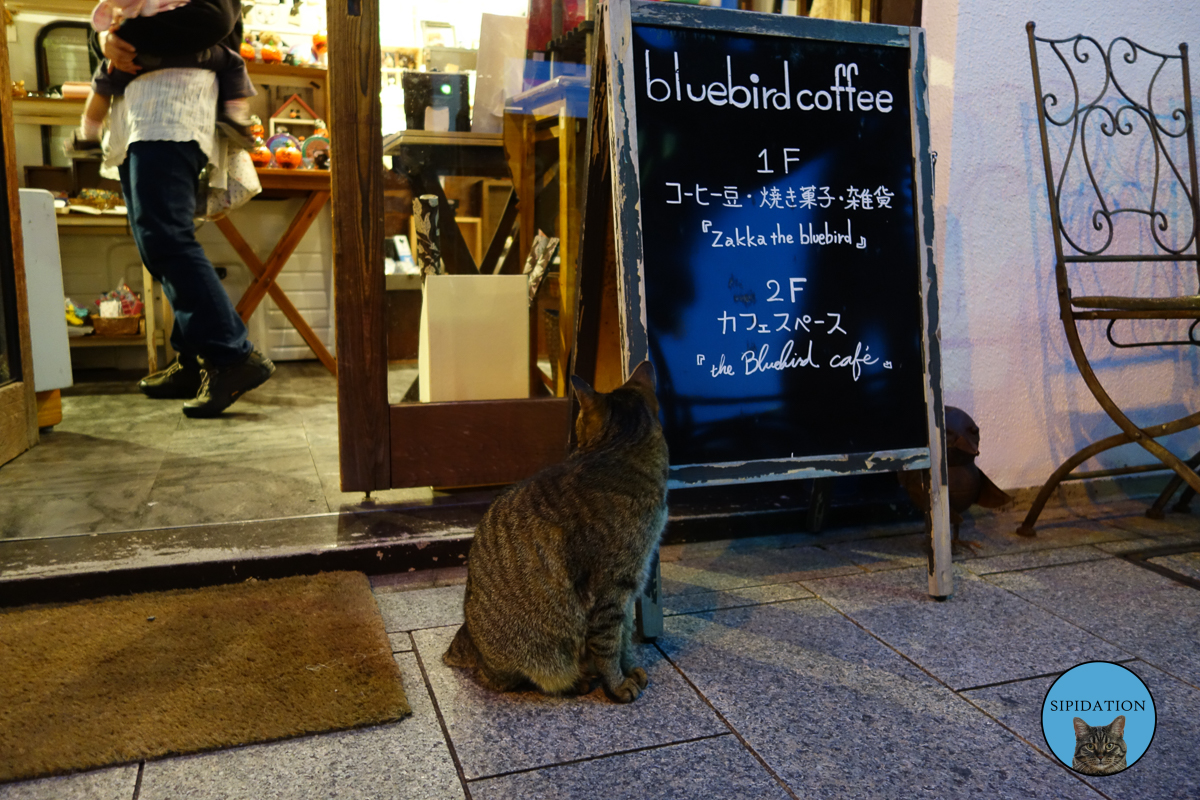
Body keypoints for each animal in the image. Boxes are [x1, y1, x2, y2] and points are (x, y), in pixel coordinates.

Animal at [444, 359, 672, 705]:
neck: (618, 452)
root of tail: (467, 636)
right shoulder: (612, 590)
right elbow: (609, 645)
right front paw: (617, 684)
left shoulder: (629, 590)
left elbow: (624, 639)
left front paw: (630, 668)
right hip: (534, 656)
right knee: (509, 680)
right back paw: (575, 682)